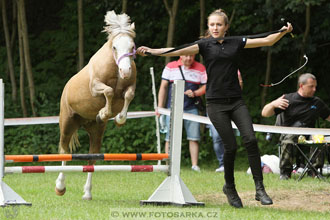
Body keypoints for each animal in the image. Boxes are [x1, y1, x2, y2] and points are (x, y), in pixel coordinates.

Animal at [54, 10, 137, 200]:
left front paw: (118, 118)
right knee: (65, 152)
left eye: (132, 46)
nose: (126, 71)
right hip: (67, 123)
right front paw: (104, 113)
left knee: (91, 158)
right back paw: (60, 187)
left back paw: (87, 193)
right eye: (115, 47)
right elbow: (109, 92)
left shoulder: (130, 87)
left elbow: (128, 95)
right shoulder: (95, 87)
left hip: (95, 131)